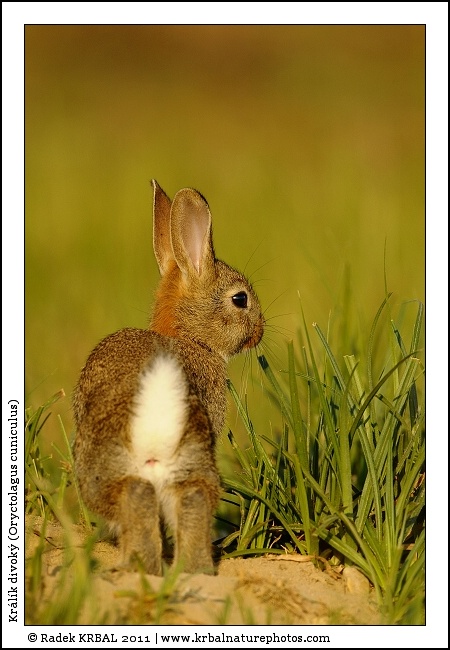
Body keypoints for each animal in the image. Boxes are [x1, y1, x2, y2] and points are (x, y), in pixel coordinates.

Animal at [72, 180, 264, 575]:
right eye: (240, 299)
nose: (260, 331)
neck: (188, 337)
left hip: (103, 472)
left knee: (136, 496)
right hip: (192, 464)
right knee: (192, 500)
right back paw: (192, 569)